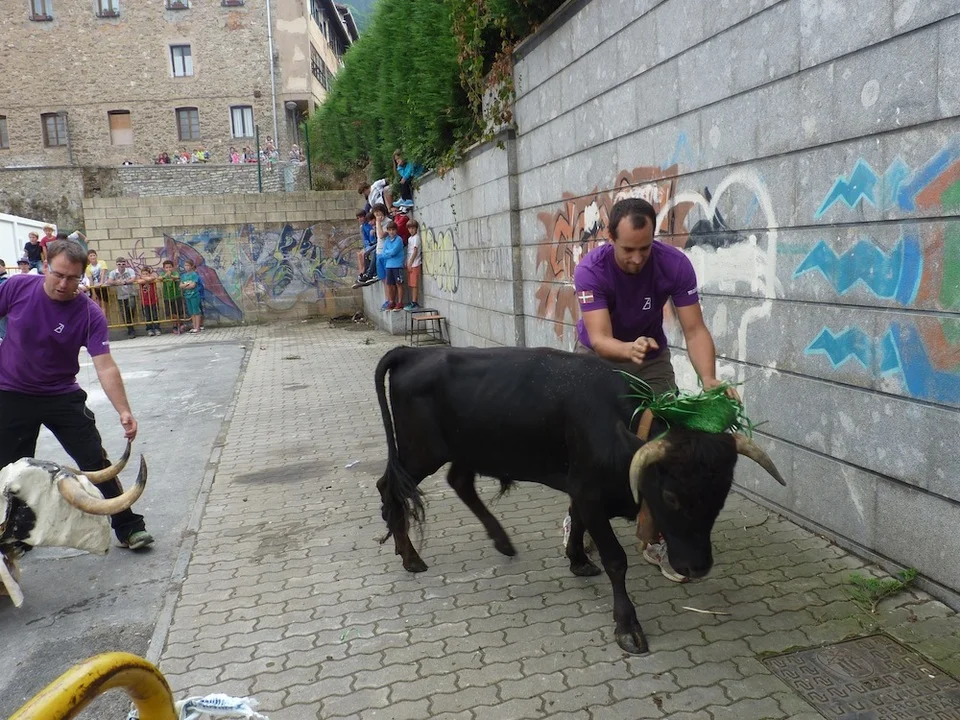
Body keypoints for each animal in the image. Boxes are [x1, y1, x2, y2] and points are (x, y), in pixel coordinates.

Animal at [375, 345, 785, 655]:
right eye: (670, 495)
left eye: (723, 492)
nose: (697, 567)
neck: (618, 426)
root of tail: (415, 351)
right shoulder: (589, 492)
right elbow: (615, 560)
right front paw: (627, 625)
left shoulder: (581, 488)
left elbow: (579, 524)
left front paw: (578, 560)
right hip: (419, 453)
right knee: (389, 487)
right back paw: (410, 556)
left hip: (466, 448)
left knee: (458, 482)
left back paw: (501, 542)